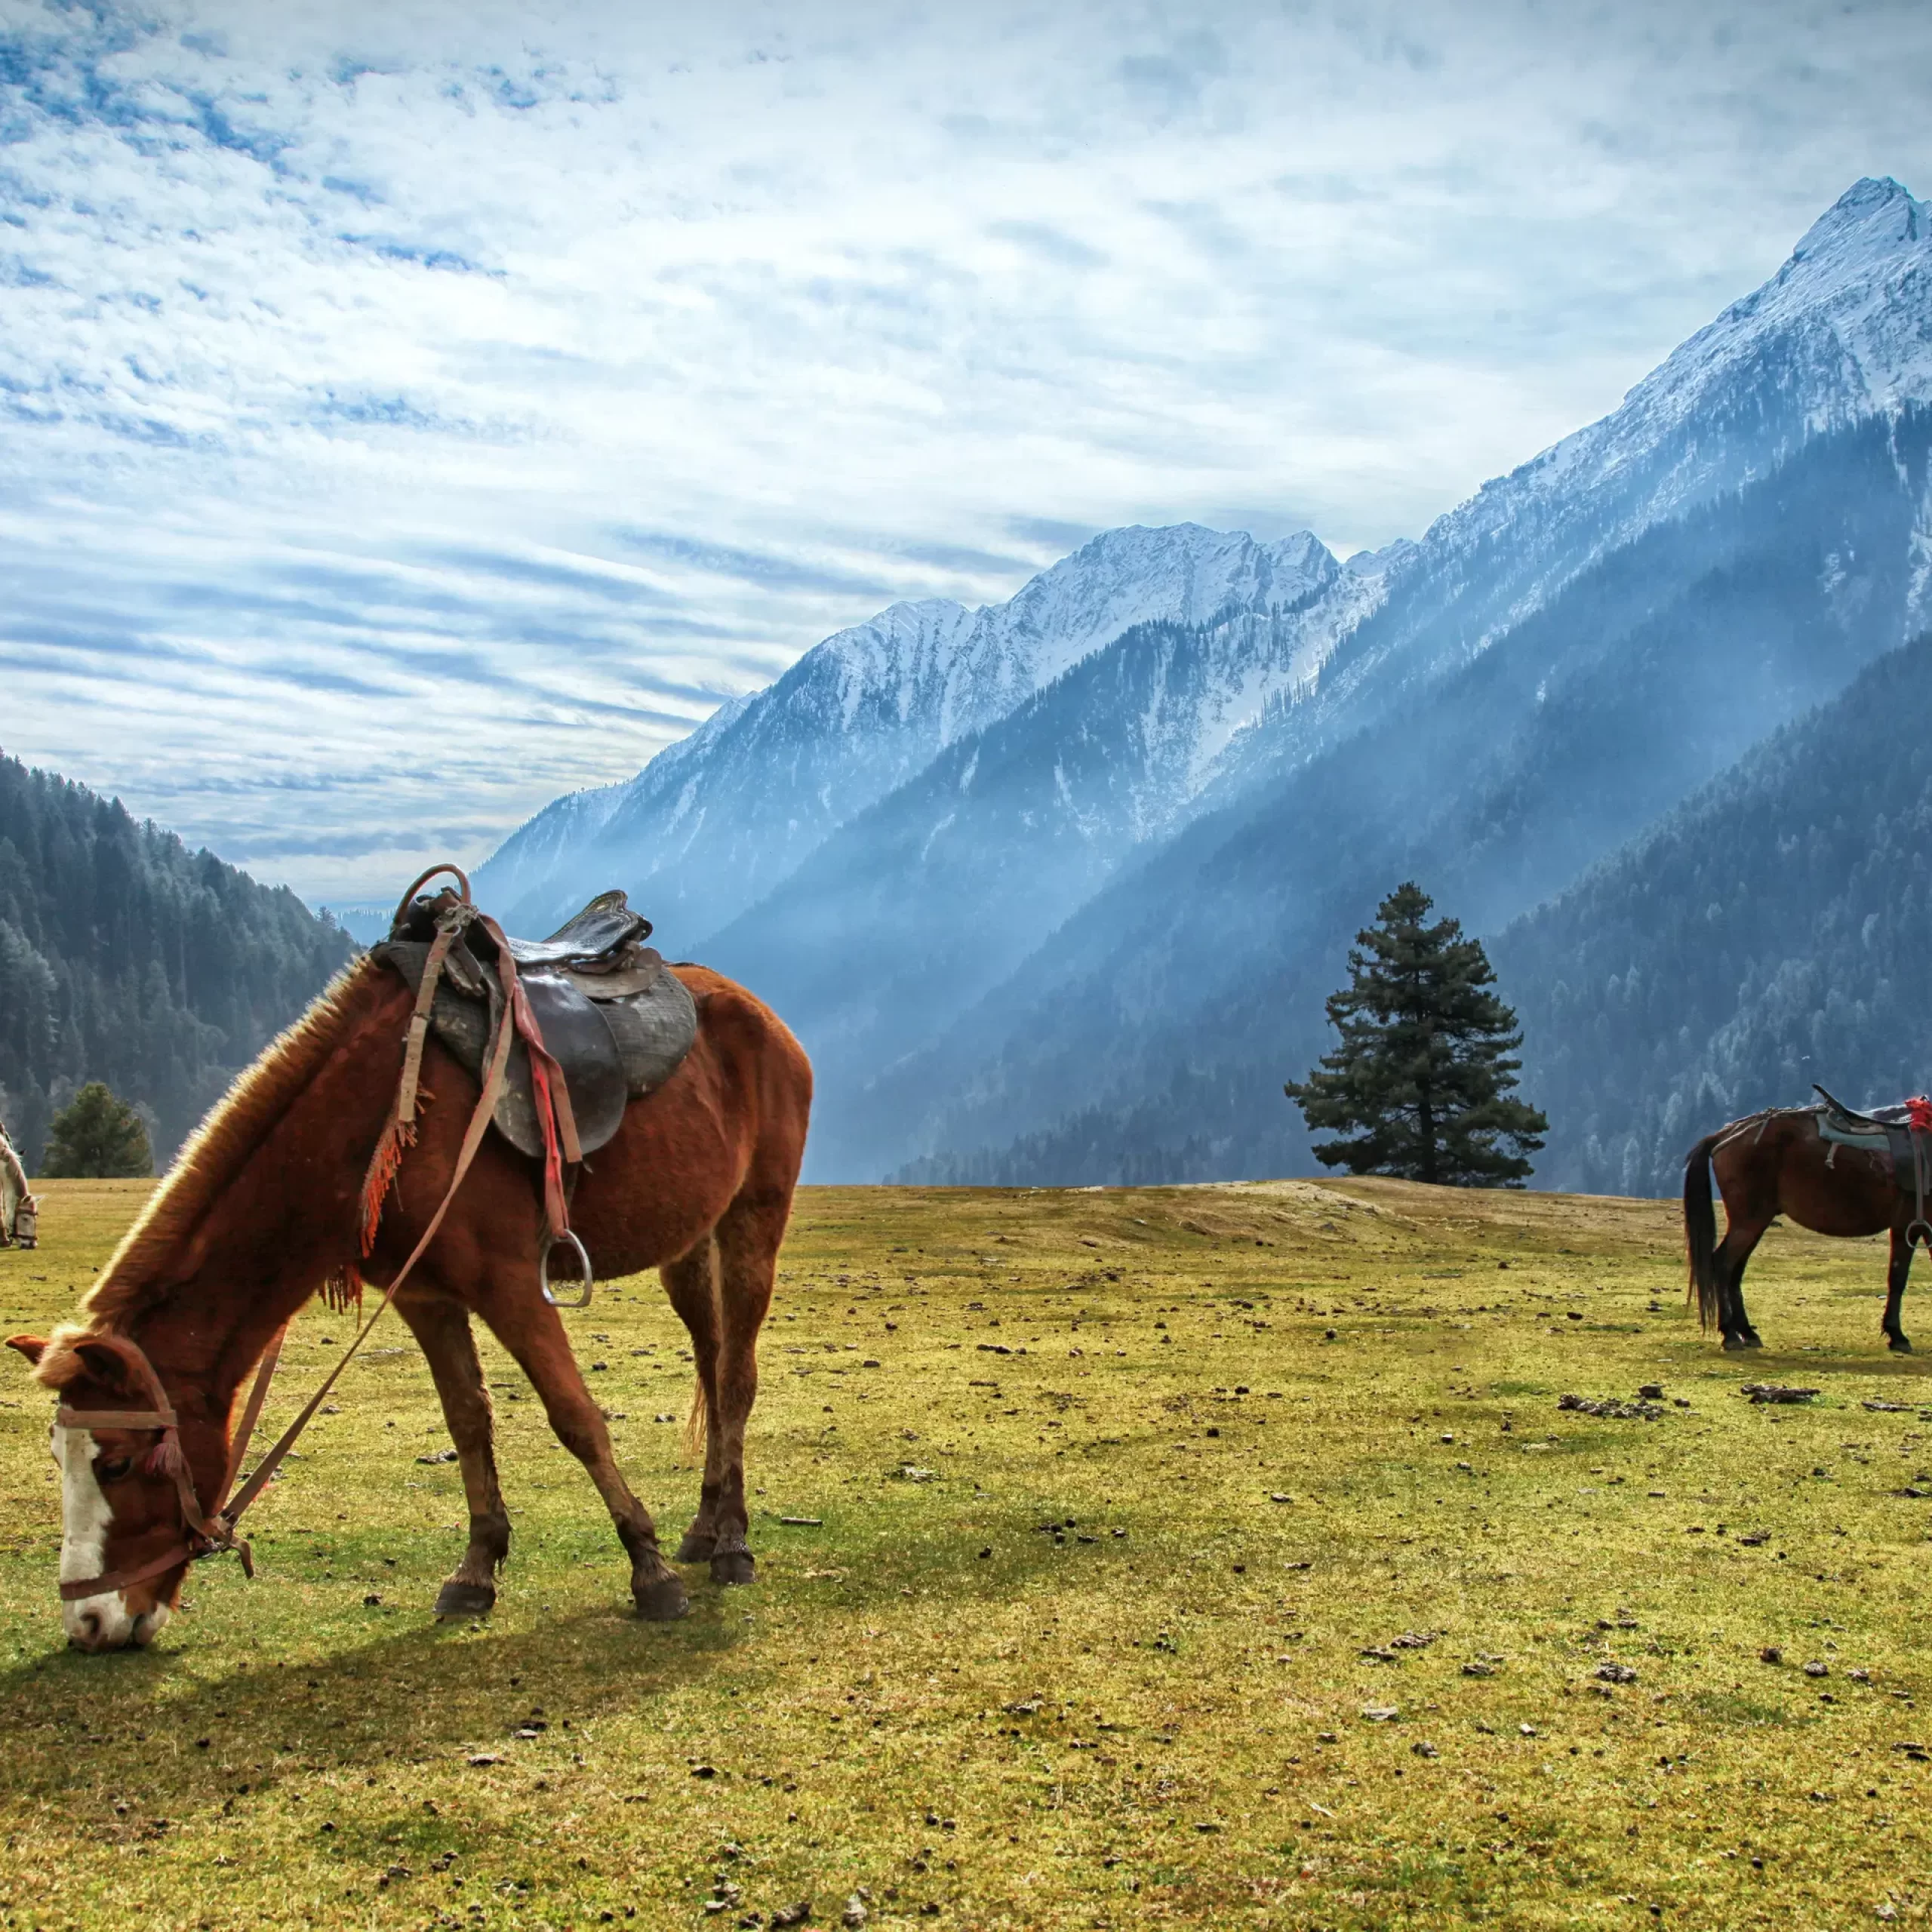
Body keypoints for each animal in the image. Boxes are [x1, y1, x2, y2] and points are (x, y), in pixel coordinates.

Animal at [5, 950, 808, 1646]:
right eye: (57, 1456)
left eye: (114, 1464)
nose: (88, 1624)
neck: (374, 1116)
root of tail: (761, 1014)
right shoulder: (424, 1296)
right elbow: (467, 1421)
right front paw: (477, 1572)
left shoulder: (511, 1284)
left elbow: (576, 1419)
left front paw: (648, 1570)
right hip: (688, 1245)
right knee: (712, 1368)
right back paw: (705, 1528)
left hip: (752, 1220)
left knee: (736, 1379)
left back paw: (732, 1544)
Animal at [1684, 1112, 1924, 1352]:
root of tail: (1724, 1134)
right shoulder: (1906, 1225)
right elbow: (1898, 1276)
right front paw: (1897, 1335)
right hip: (1748, 1221)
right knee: (1723, 1263)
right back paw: (1730, 1333)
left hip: (1756, 1222)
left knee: (1735, 1269)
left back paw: (1747, 1332)